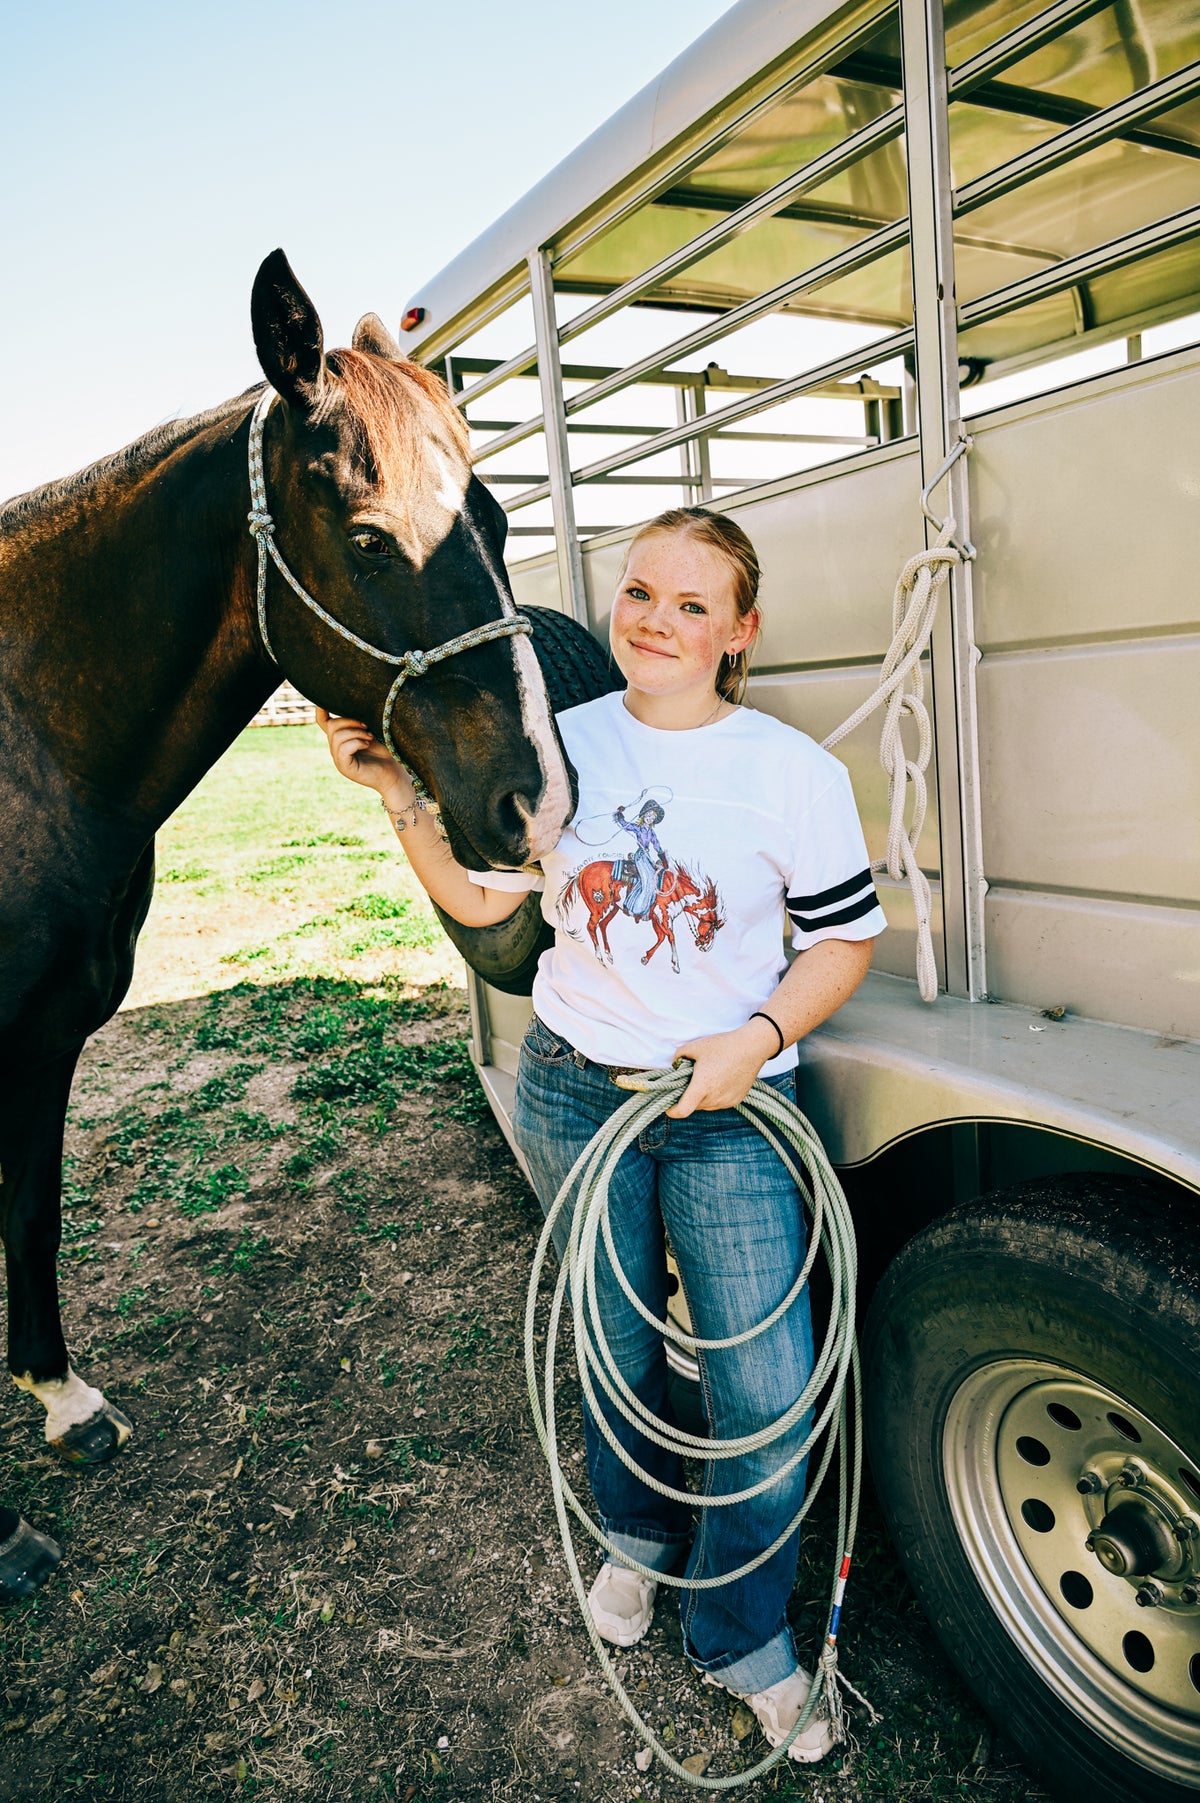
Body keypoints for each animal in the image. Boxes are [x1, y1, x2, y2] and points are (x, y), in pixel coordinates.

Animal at [0, 250, 574, 1601]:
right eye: (369, 539)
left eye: (497, 519)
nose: (536, 801)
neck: (24, 735)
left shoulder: (43, 1041)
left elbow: (32, 1212)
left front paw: (64, 1402)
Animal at [560, 859, 724, 972]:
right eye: (712, 929)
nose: (703, 947)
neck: (677, 891)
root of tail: (581, 873)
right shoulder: (663, 916)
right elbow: (670, 936)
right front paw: (676, 964)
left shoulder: (656, 919)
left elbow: (661, 937)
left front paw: (645, 958)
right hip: (599, 907)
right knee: (591, 926)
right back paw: (600, 958)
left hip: (613, 908)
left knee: (602, 925)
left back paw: (609, 955)